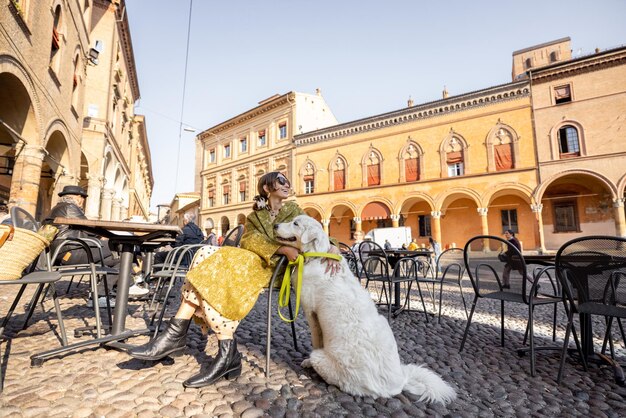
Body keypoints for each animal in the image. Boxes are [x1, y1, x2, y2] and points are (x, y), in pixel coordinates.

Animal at [272, 216, 454, 404]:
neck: (316, 255)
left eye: (295, 223)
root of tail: (398, 383)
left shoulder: (311, 313)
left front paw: (306, 361)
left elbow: (316, 341)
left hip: (323, 360)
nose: (275, 225)